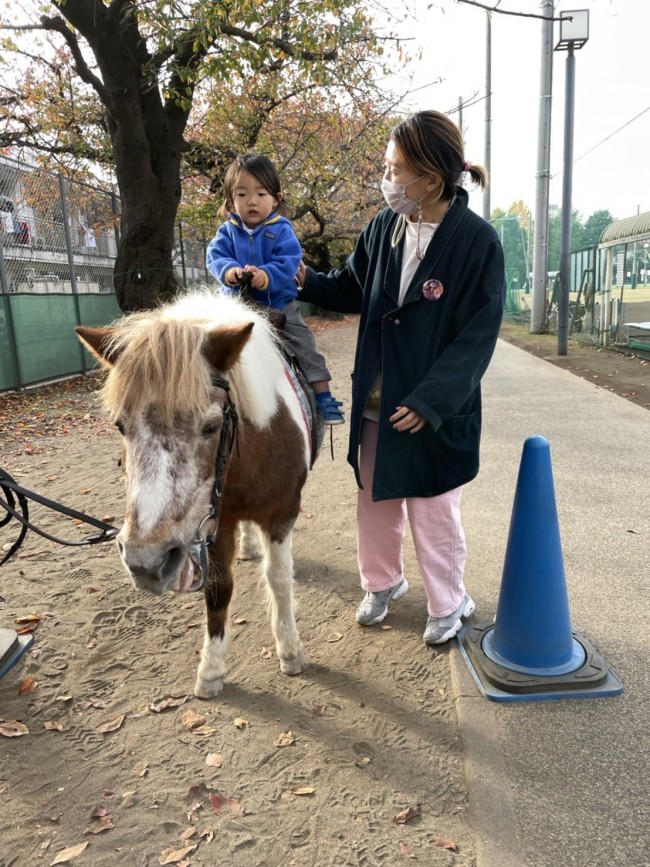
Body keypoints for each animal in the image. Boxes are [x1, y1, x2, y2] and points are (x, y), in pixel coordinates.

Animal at [76, 290, 322, 698]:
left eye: (211, 426)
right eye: (120, 426)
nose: (146, 561)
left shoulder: (282, 513)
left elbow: (279, 578)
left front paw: (290, 651)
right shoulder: (212, 526)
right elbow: (219, 589)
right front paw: (212, 669)